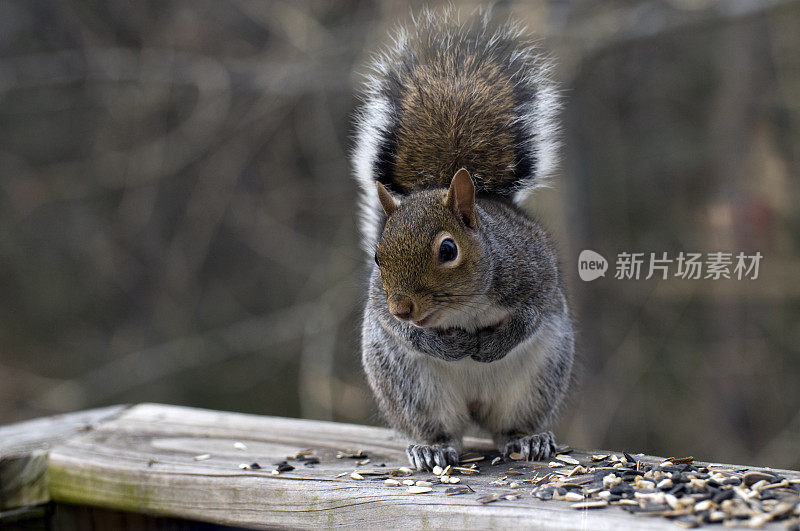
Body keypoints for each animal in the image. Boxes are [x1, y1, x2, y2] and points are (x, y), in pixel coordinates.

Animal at [354, 10, 572, 472]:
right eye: (378, 258)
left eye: (448, 250)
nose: (403, 307)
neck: (464, 308)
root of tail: (474, 408)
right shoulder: (383, 307)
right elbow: (405, 333)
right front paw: (449, 345)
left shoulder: (533, 274)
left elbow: (530, 316)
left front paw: (490, 345)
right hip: (411, 388)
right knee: (439, 428)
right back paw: (431, 448)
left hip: (536, 381)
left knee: (509, 428)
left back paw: (529, 440)